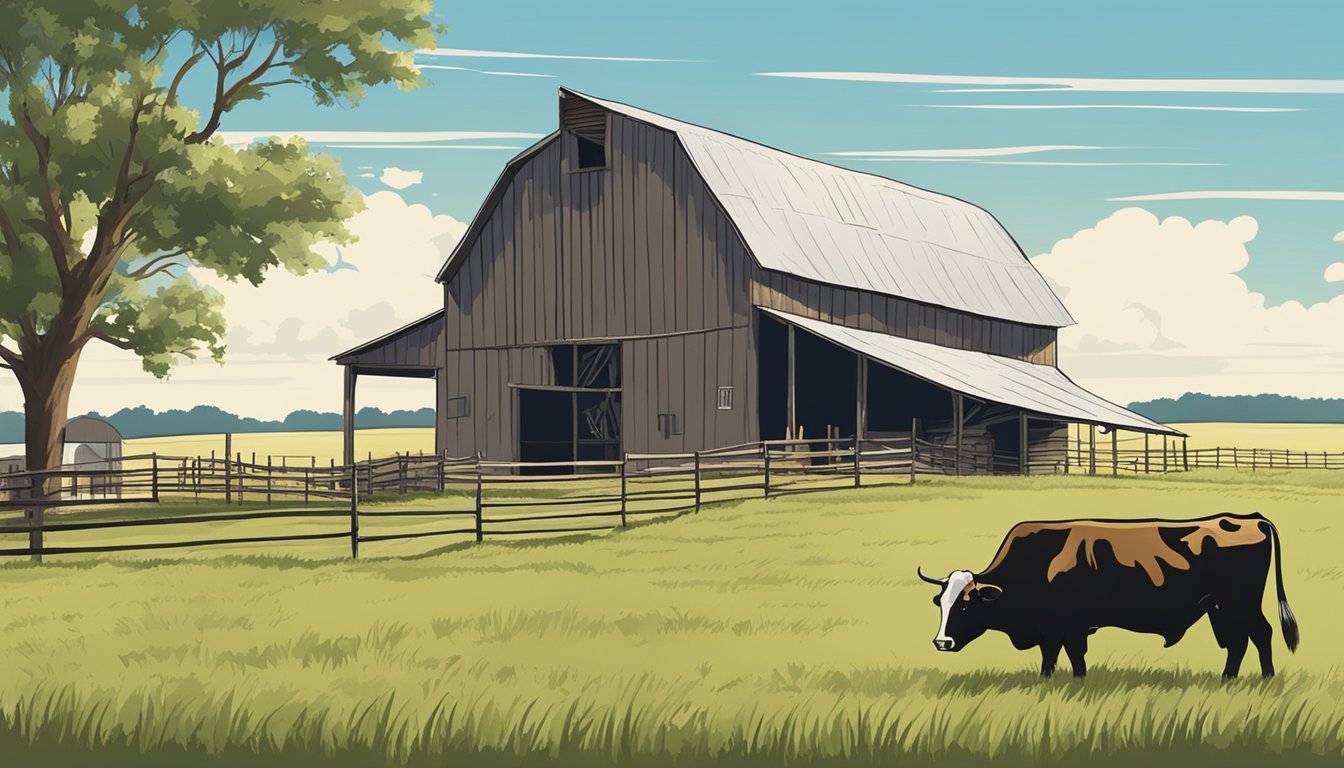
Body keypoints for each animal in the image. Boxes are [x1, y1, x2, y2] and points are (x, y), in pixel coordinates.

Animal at [919, 513, 1295, 675]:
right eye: (941, 603)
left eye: (966, 605)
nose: (942, 642)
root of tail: (1249, 518)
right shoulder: (1062, 628)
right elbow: (1067, 658)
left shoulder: (1062, 626)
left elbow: (1059, 657)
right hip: (1221, 607)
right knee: (1239, 642)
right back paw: (1229, 680)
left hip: (1240, 603)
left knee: (1260, 634)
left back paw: (1266, 679)